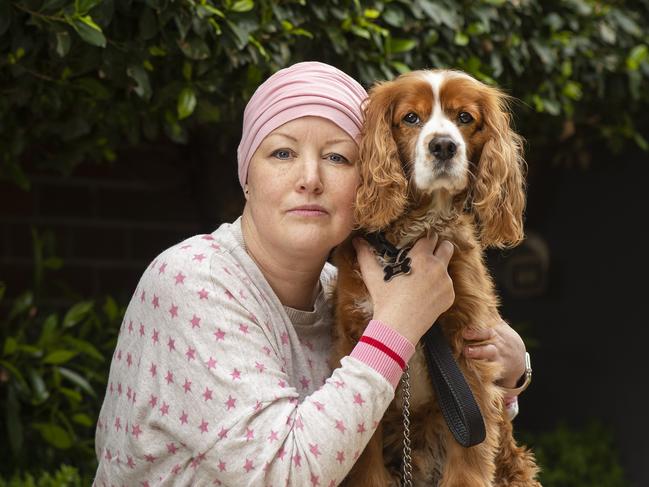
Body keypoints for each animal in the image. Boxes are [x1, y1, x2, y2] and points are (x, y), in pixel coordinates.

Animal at [332, 69, 540, 487]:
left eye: (465, 118)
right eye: (411, 118)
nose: (443, 146)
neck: (409, 245)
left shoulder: (468, 352)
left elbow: (469, 456)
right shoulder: (353, 336)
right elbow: (366, 461)